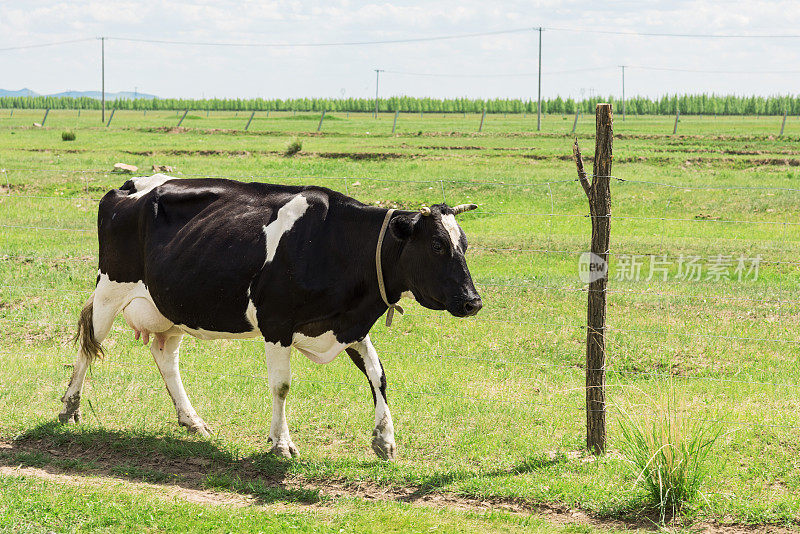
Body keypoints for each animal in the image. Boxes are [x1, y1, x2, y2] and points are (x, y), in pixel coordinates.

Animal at [61, 175, 482, 460]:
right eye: (437, 245)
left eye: (463, 244)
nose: (472, 301)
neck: (336, 244)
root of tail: (131, 185)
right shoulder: (277, 324)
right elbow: (281, 386)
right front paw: (281, 443)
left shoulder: (347, 324)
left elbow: (379, 376)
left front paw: (385, 440)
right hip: (110, 289)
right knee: (89, 345)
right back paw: (70, 406)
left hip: (171, 307)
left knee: (166, 357)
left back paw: (192, 420)